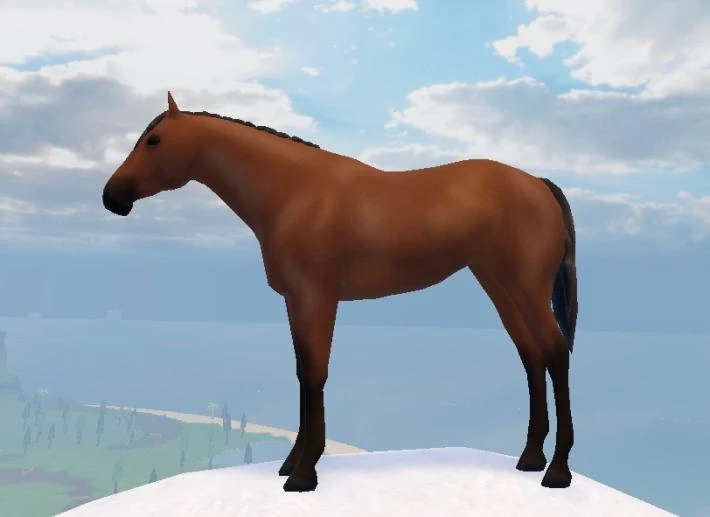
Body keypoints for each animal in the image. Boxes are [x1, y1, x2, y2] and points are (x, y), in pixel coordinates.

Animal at [102, 91, 578, 493]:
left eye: (154, 140)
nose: (112, 197)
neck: (296, 193)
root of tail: (537, 182)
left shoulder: (316, 296)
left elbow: (315, 374)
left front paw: (305, 474)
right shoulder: (296, 301)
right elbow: (302, 373)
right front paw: (292, 463)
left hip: (525, 286)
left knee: (555, 352)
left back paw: (557, 471)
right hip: (499, 284)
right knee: (531, 355)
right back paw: (530, 458)